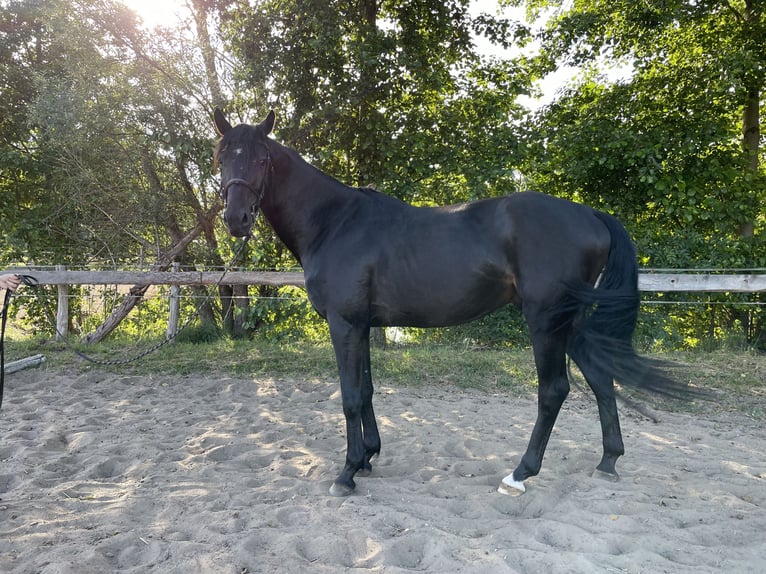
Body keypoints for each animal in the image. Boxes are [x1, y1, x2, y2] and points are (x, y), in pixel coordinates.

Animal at [214, 110, 688, 498]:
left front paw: (346, 473)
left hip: (546, 321)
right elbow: (366, 391)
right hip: (572, 322)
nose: (236, 220)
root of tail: (591, 214)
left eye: (260, 159)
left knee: (554, 390)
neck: (335, 222)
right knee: (601, 378)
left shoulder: (343, 323)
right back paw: (608, 462)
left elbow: (349, 396)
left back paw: (520, 473)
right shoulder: (361, 325)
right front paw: (368, 457)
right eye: (222, 159)